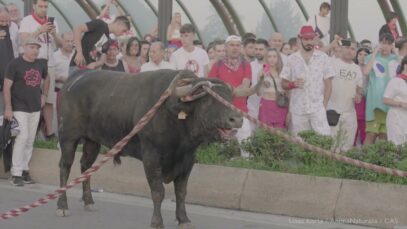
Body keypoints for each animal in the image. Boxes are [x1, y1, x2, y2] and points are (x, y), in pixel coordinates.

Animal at [56, 69, 244, 228]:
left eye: (230, 98)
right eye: (206, 100)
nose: (236, 119)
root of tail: (74, 78)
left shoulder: (188, 160)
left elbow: (181, 192)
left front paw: (183, 219)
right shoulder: (151, 157)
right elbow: (158, 191)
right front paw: (157, 222)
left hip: (92, 141)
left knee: (86, 166)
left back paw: (89, 202)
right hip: (68, 137)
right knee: (65, 166)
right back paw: (62, 205)